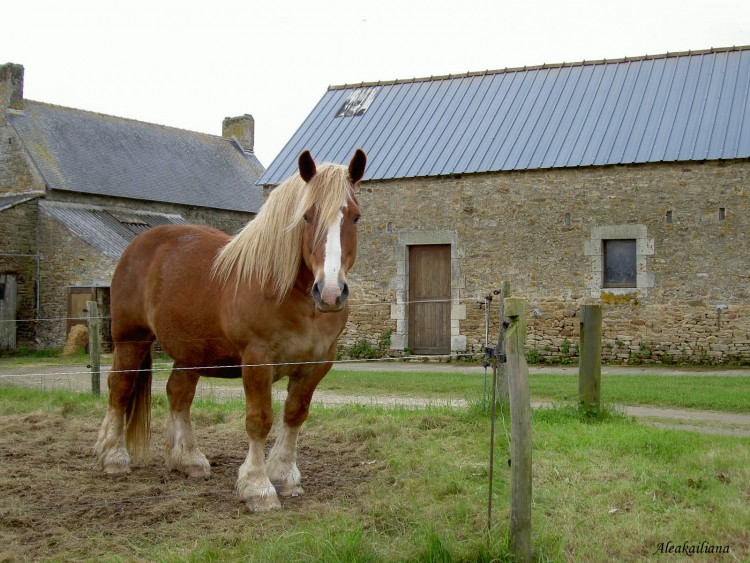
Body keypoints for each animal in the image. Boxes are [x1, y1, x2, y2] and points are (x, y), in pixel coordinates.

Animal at [95, 149, 366, 512]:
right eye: (307, 217)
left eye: (355, 217)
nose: (331, 293)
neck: (289, 294)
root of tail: (138, 244)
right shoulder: (256, 361)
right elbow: (259, 420)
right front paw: (258, 488)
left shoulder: (316, 365)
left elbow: (295, 415)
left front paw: (284, 476)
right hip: (131, 340)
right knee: (120, 388)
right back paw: (114, 457)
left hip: (190, 353)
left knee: (178, 394)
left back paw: (189, 460)